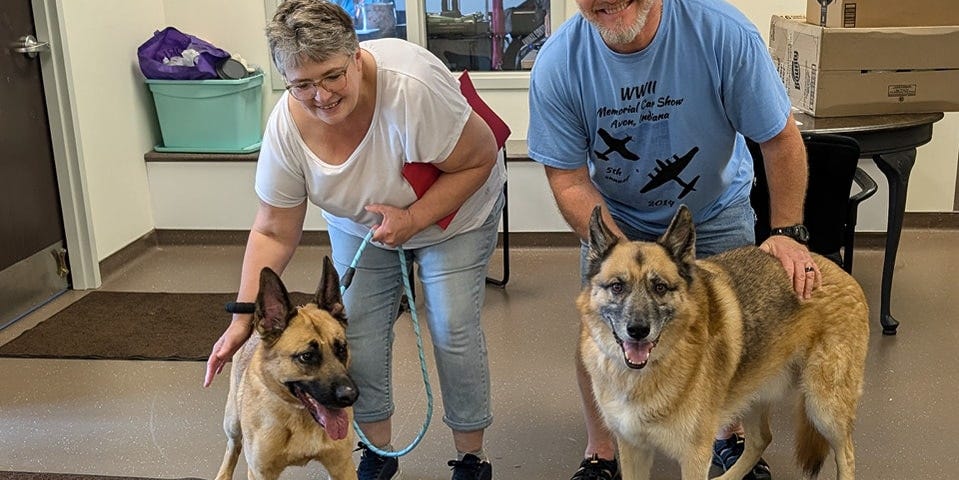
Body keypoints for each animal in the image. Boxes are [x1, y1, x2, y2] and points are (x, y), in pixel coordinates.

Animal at [217, 258, 360, 480]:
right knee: (232, 447)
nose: (350, 396)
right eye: (306, 356)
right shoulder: (260, 473)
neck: (300, 415)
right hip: (232, 421)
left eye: (341, 348)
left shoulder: (342, 468)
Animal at [576, 206, 872, 480]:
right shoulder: (632, 449)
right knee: (761, 439)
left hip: (824, 408)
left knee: (847, 454)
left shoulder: (694, 457)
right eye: (617, 286)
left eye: (659, 287)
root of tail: (836, 269)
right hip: (753, 393)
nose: (637, 331)